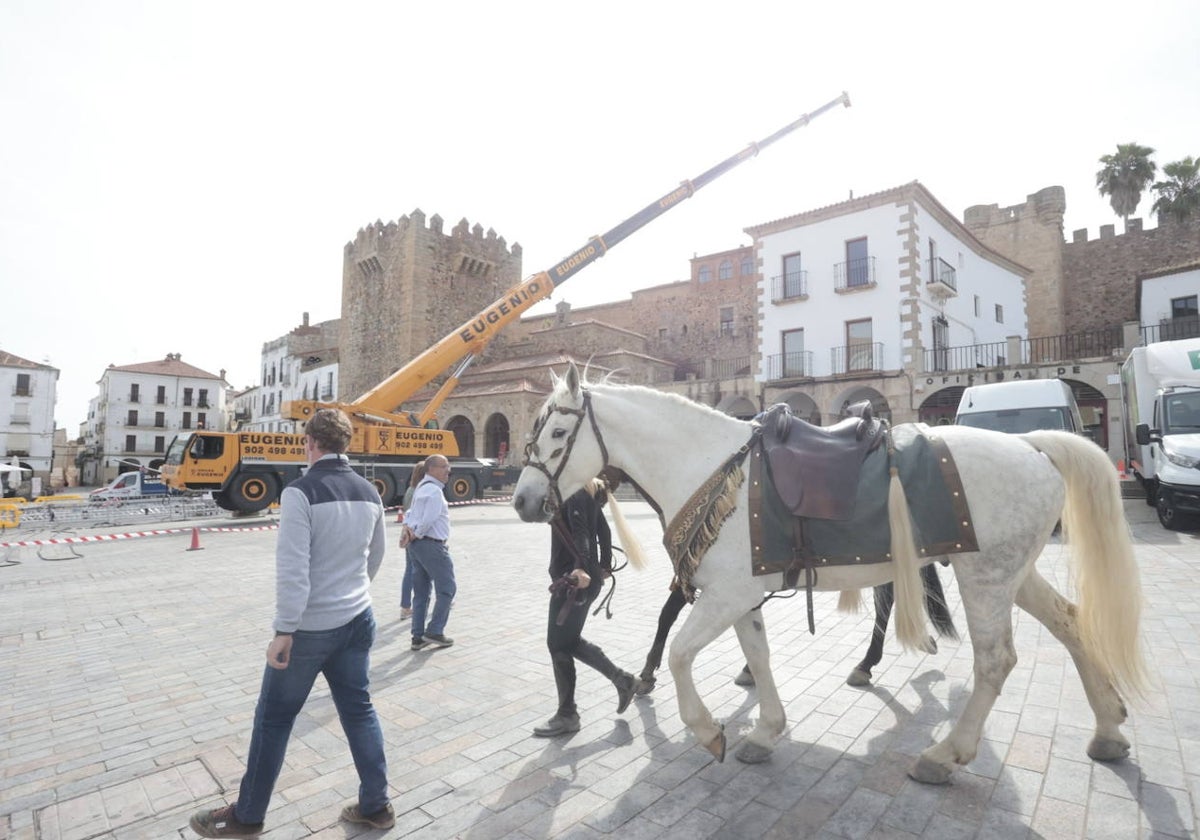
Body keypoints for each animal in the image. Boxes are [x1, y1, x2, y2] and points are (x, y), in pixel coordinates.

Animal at [511, 364, 1147, 782]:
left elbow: (679, 654)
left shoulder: (723, 595)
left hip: (985, 578)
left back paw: (945, 755)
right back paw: (1108, 730)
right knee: (1071, 624)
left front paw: (709, 730)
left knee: (996, 661)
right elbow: (758, 656)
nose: (521, 500)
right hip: (1014, 573)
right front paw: (765, 732)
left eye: (559, 433)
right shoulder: (739, 596)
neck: (711, 467)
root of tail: (1034, 446)